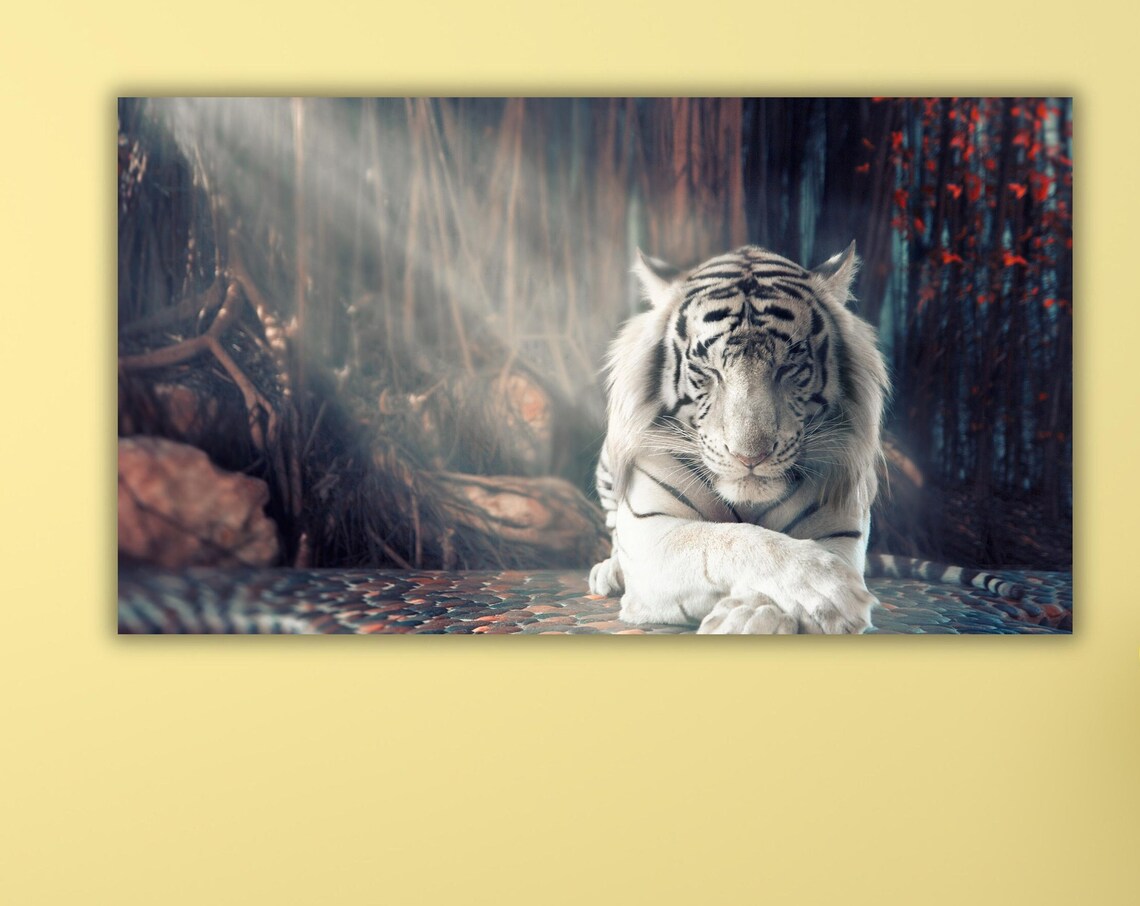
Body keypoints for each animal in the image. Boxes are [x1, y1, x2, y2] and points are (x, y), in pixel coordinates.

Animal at [589, 242, 1018, 635]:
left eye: (789, 366)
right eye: (708, 370)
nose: (750, 457)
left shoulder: (840, 530)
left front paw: (751, 617)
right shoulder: (652, 533)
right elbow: (731, 540)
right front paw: (827, 589)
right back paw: (608, 572)